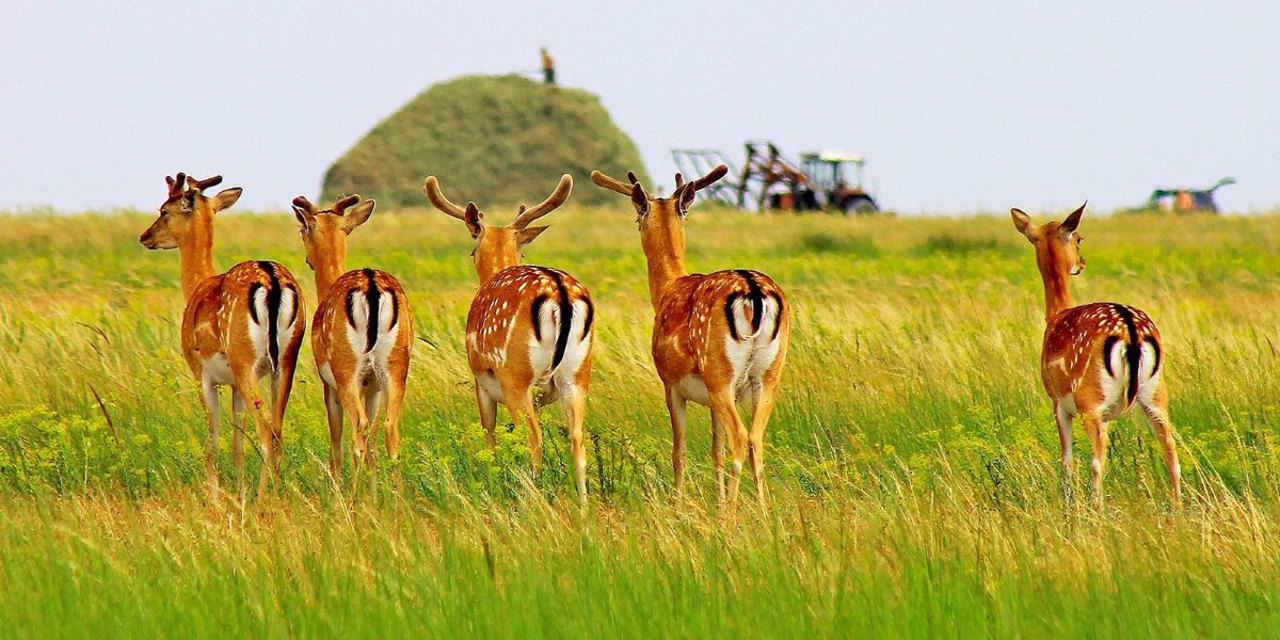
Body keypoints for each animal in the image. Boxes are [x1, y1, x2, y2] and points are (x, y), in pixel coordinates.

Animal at [140, 174, 307, 494]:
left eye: (164, 210)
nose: (145, 236)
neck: (197, 285)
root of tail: (273, 283)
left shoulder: (201, 372)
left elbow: (213, 441)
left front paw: (215, 495)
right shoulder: (233, 384)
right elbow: (236, 443)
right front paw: (238, 492)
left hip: (244, 359)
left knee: (265, 430)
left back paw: (263, 498)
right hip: (286, 360)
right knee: (278, 428)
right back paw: (276, 491)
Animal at [293, 192, 412, 481]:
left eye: (302, 229)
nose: (307, 259)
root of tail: (371, 286)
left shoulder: (329, 383)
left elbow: (336, 434)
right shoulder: (373, 387)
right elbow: (374, 445)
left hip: (346, 368)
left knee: (359, 428)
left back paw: (351, 491)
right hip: (396, 366)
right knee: (390, 429)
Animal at [422, 174, 596, 499]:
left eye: (472, 250)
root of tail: (560, 293)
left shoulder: (482, 379)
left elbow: (489, 433)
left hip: (514, 372)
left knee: (534, 438)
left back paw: (531, 495)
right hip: (578, 373)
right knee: (578, 441)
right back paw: (583, 505)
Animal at [591, 165, 788, 509]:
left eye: (637, 215)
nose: (636, 224)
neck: (666, 290)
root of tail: (754, 293)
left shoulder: (670, 382)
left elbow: (679, 450)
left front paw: (677, 504)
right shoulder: (711, 397)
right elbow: (716, 450)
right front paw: (716, 501)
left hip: (719, 370)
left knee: (740, 437)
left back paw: (731, 515)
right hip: (768, 375)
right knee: (756, 439)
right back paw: (764, 512)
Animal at [1008, 203, 1177, 504]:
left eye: (1079, 238)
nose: (1082, 263)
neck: (1054, 316)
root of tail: (1130, 331)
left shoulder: (1058, 402)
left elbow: (1066, 458)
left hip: (1090, 398)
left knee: (1098, 459)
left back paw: (1095, 508)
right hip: (1156, 393)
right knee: (1171, 450)